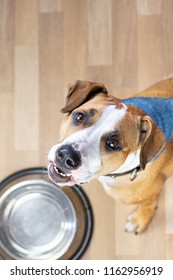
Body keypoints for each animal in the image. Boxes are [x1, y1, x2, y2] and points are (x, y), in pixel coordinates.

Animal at [47, 77, 173, 233]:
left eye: (113, 143)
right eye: (80, 116)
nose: (66, 156)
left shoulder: (149, 195)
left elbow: (148, 205)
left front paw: (140, 219)